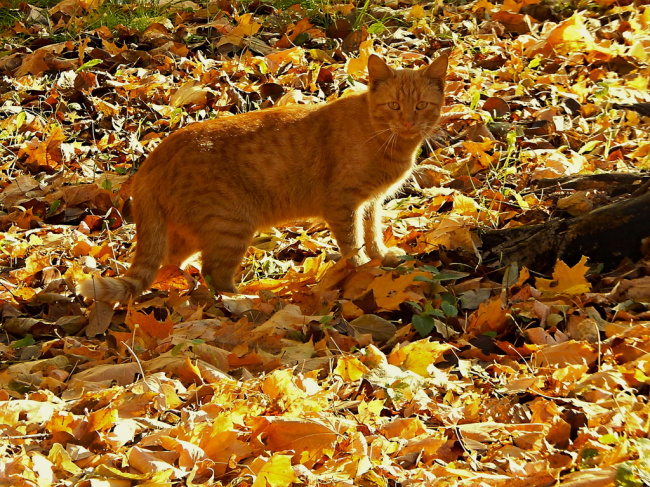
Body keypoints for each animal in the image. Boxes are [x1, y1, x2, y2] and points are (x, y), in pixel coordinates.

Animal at [78, 51, 446, 300]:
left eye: (422, 106)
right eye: (394, 106)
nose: (409, 122)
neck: (385, 139)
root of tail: (151, 161)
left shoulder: (370, 203)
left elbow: (372, 233)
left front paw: (380, 258)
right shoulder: (343, 203)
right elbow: (352, 242)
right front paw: (360, 269)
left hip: (189, 232)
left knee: (169, 264)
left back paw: (179, 284)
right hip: (232, 223)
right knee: (215, 276)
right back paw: (252, 297)